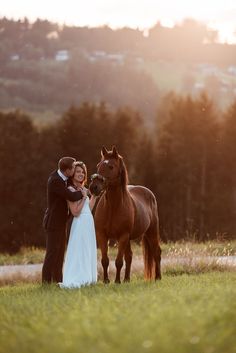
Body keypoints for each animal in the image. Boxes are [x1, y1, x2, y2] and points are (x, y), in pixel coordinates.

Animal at [91, 146, 161, 284]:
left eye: (111, 166)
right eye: (98, 165)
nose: (94, 187)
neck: (113, 207)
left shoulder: (122, 236)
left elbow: (118, 261)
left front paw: (117, 281)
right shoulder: (102, 235)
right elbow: (105, 260)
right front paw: (106, 281)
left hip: (151, 232)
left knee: (157, 252)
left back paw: (157, 277)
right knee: (129, 256)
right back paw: (127, 279)